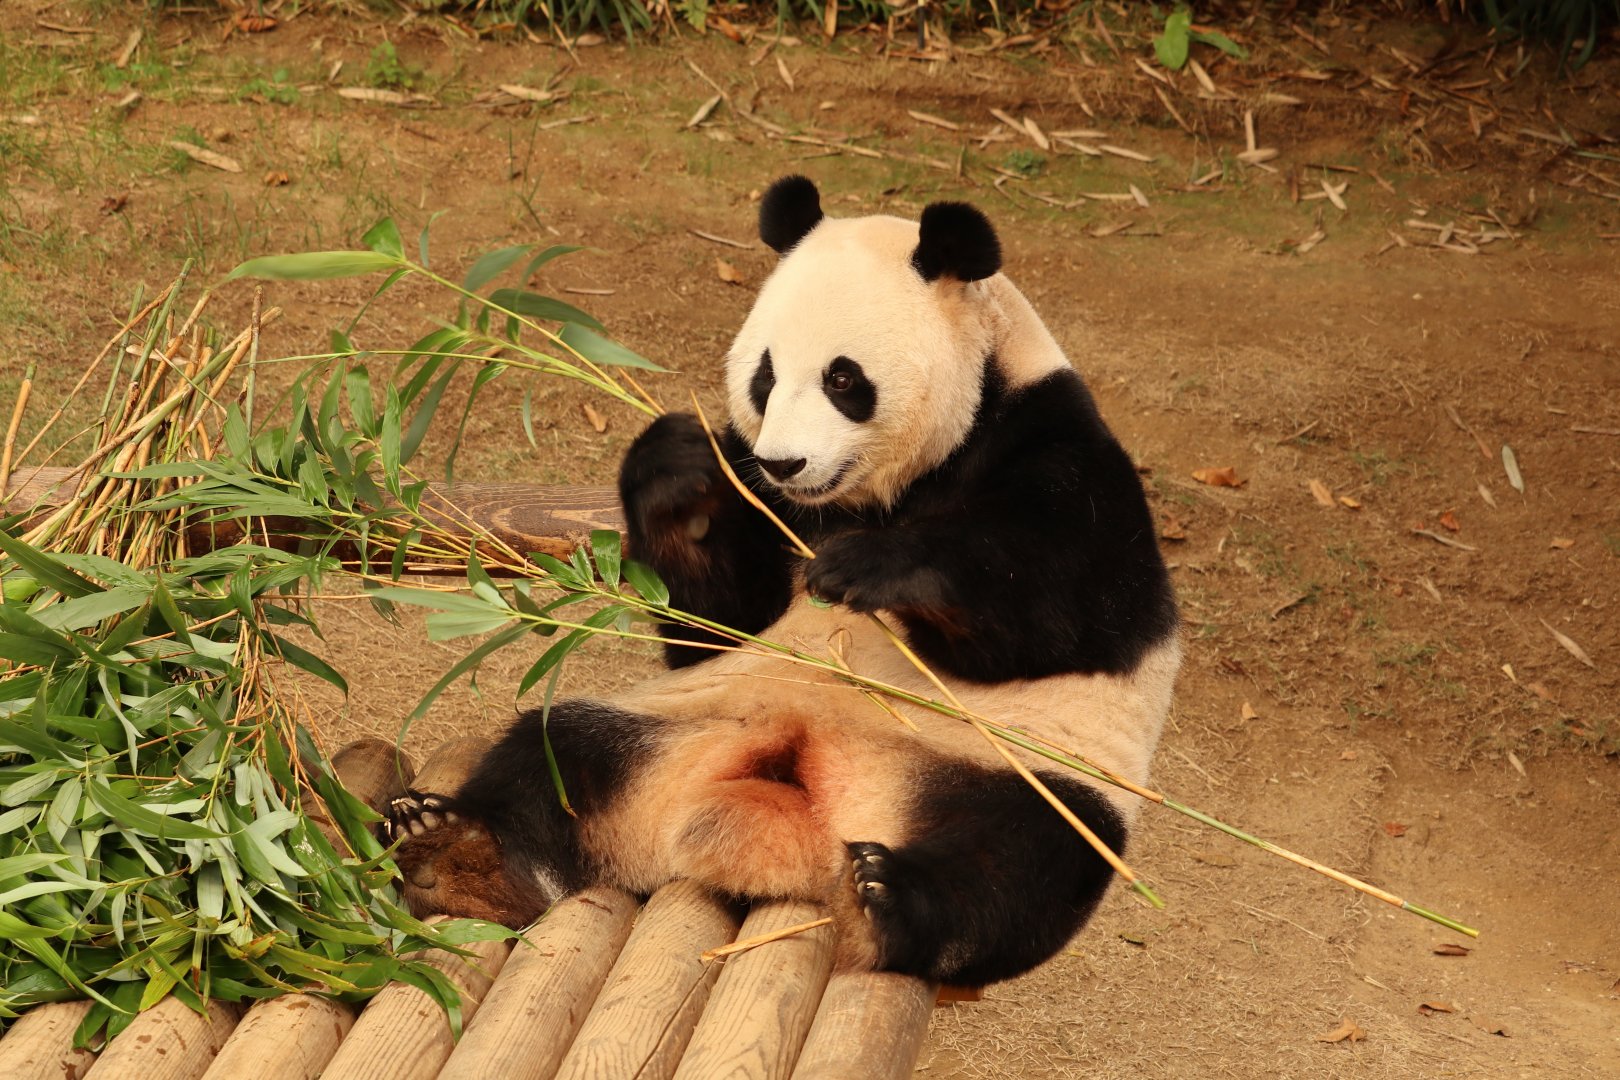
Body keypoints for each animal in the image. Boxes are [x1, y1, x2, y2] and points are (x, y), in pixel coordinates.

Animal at [388, 175, 1181, 987]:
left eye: (843, 378)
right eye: (764, 375)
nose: (783, 463)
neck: (870, 497)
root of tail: (806, 812)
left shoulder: (1057, 445)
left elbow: (1063, 612)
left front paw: (865, 568)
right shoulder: (763, 503)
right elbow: (719, 620)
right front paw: (678, 474)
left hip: (1019, 769)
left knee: (1017, 862)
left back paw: (888, 899)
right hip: (679, 726)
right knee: (554, 752)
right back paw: (457, 854)